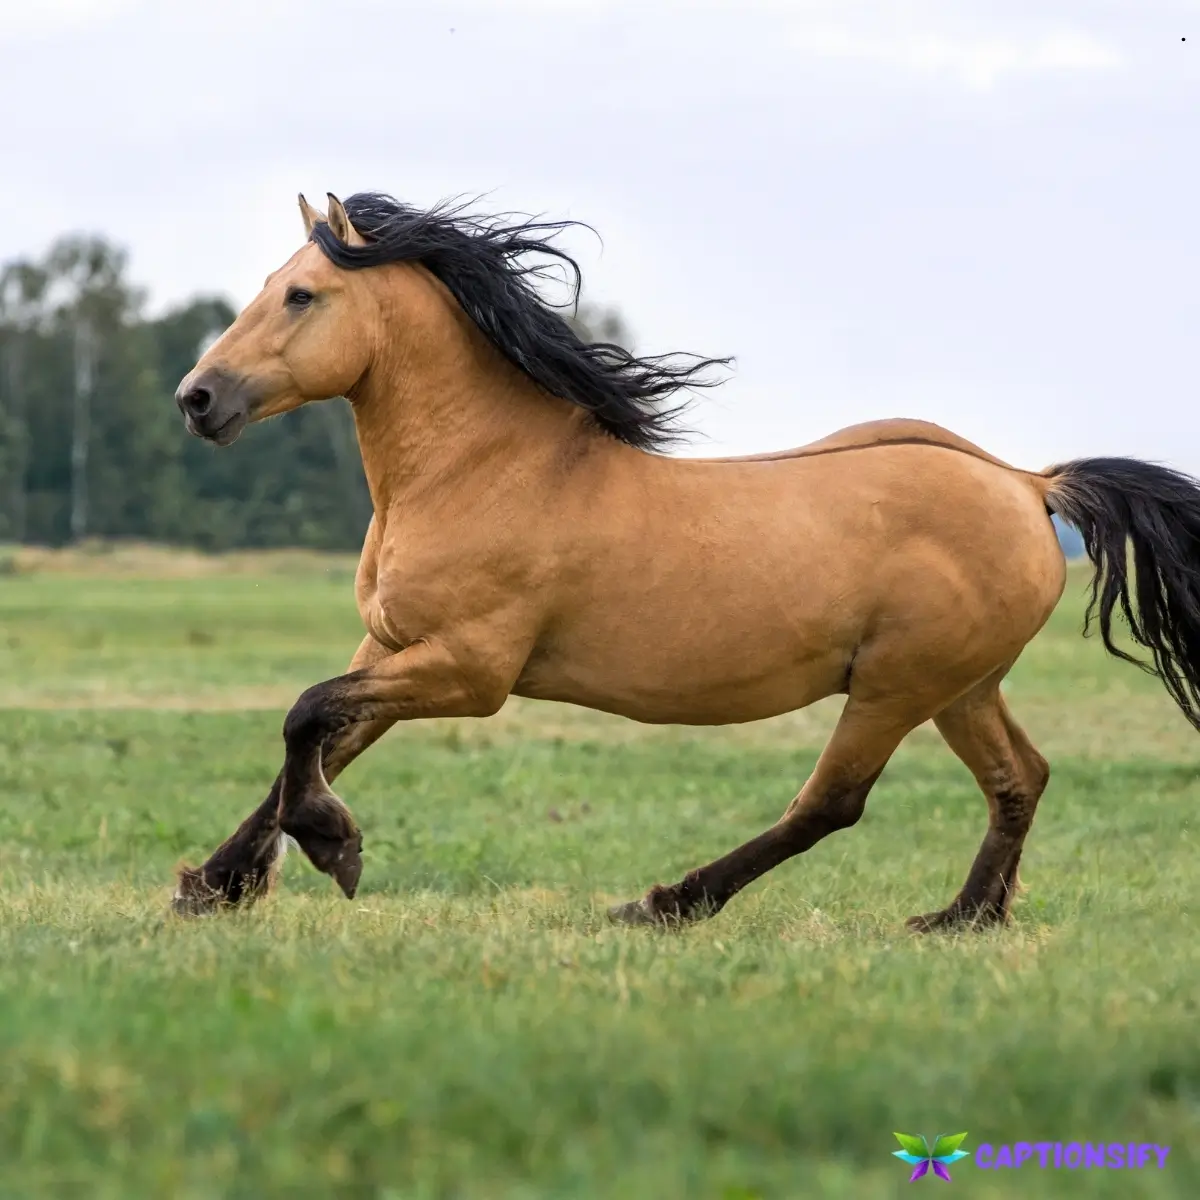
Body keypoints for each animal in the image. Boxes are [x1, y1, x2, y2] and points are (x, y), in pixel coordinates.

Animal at [170, 190, 1200, 931]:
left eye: (302, 294)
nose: (197, 398)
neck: (483, 469)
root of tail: (1030, 486)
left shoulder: (469, 670)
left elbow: (307, 718)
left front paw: (330, 849)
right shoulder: (393, 649)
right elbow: (319, 738)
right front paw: (215, 885)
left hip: (897, 686)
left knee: (830, 804)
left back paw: (665, 903)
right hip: (963, 687)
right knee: (1020, 777)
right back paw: (963, 918)